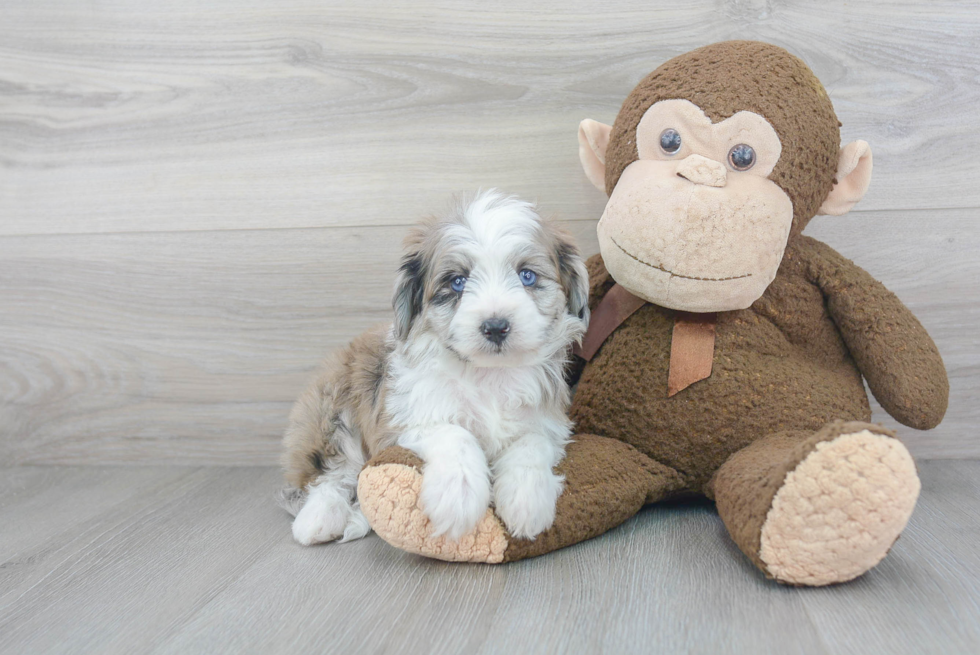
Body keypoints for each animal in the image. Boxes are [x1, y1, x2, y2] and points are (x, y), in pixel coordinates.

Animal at [282, 191, 588, 548]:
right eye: (457, 282)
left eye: (527, 276)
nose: (496, 326)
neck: (489, 373)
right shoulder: (405, 418)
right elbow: (455, 434)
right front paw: (458, 497)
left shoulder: (548, 420)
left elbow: (532, 443)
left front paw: (527, 500)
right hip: (331, 409)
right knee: (332, 470)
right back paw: (319, 519)